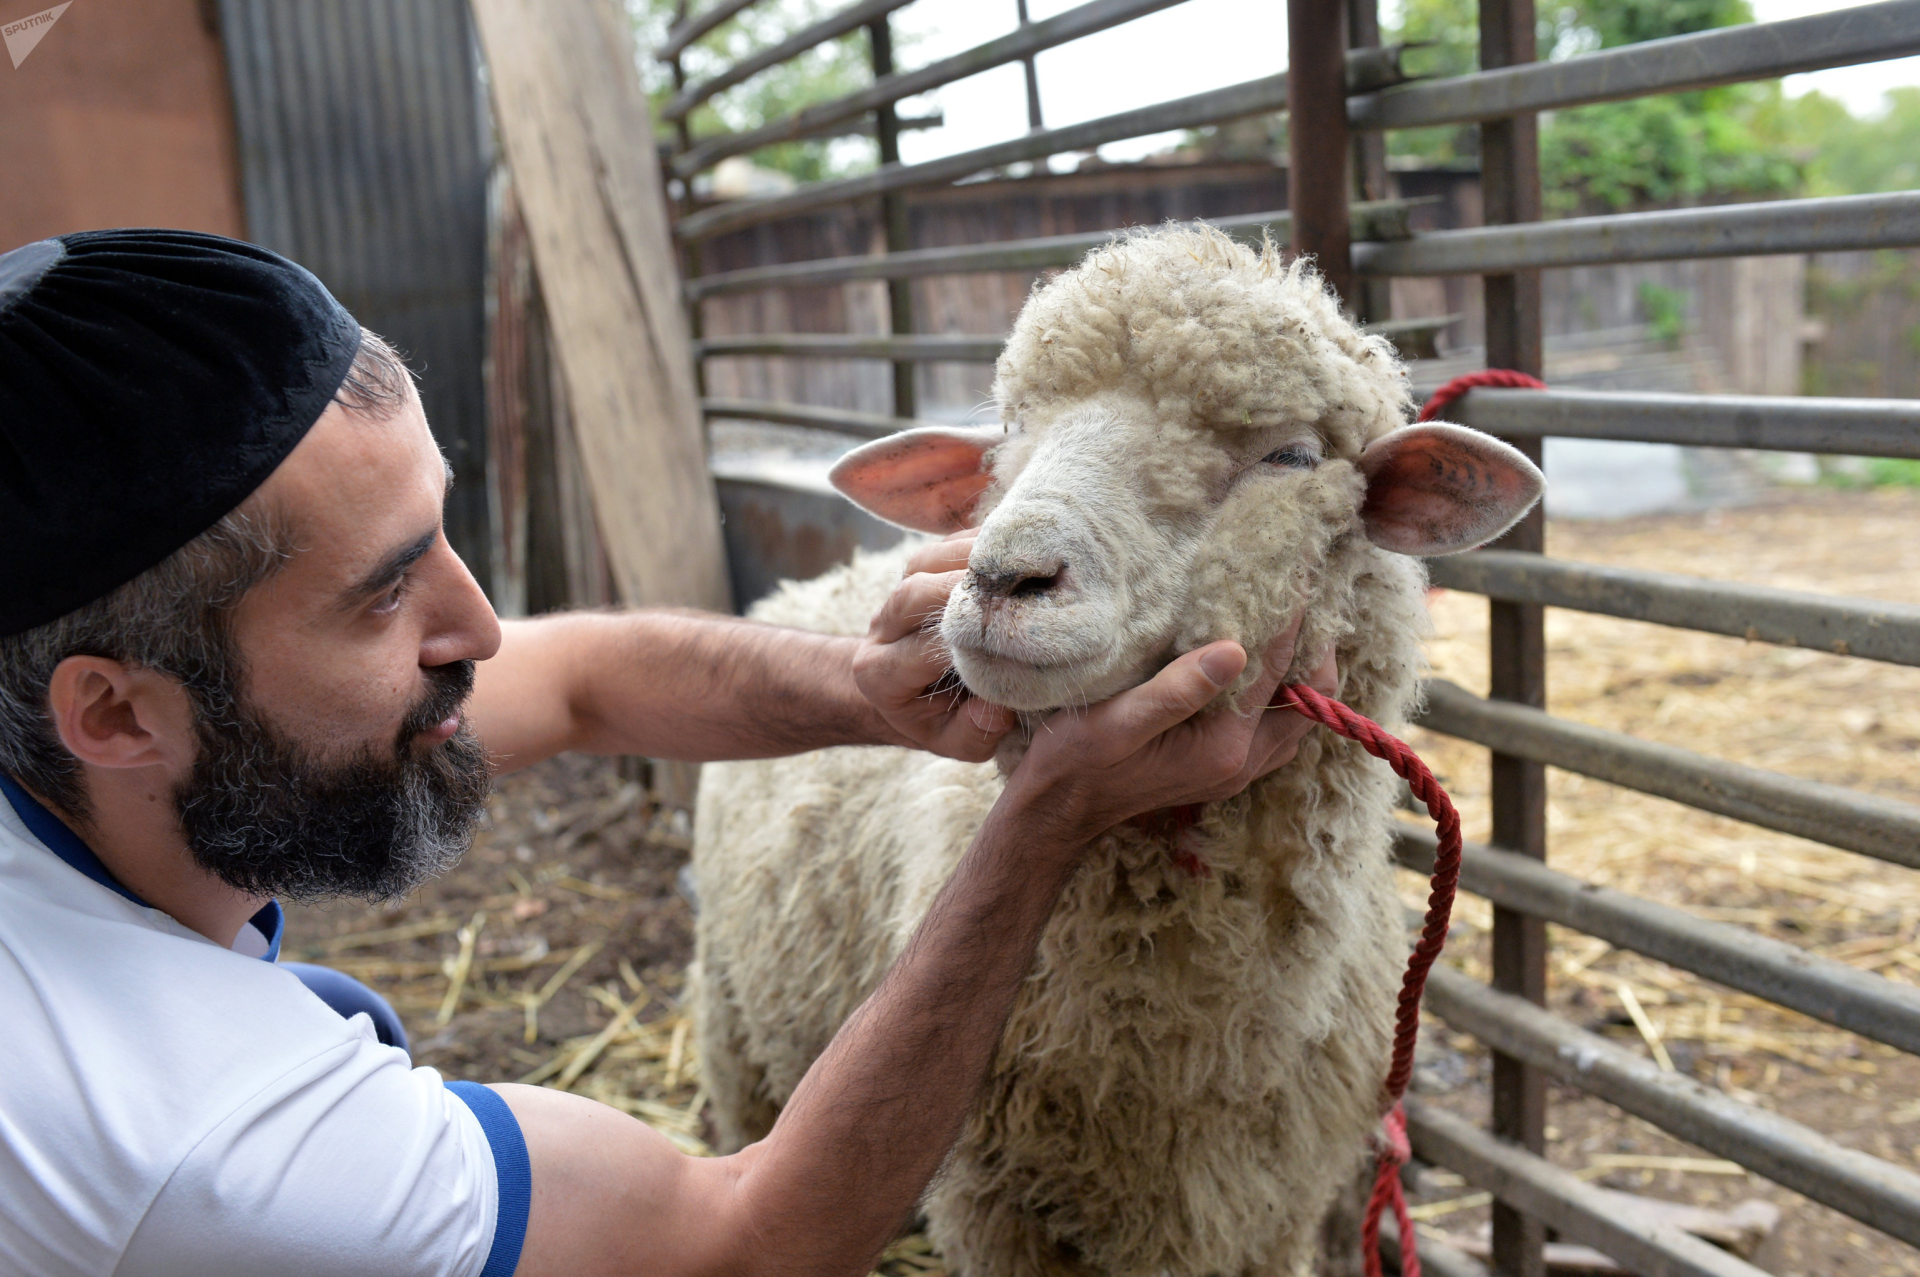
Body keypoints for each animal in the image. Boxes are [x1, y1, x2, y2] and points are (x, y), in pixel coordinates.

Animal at [691, 226, 1543, 1275]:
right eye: (1009, 432)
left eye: (1291, 456)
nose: (1003, 576)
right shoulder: (999, 1210)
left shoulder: (1270, 1208)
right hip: (733, 1024)